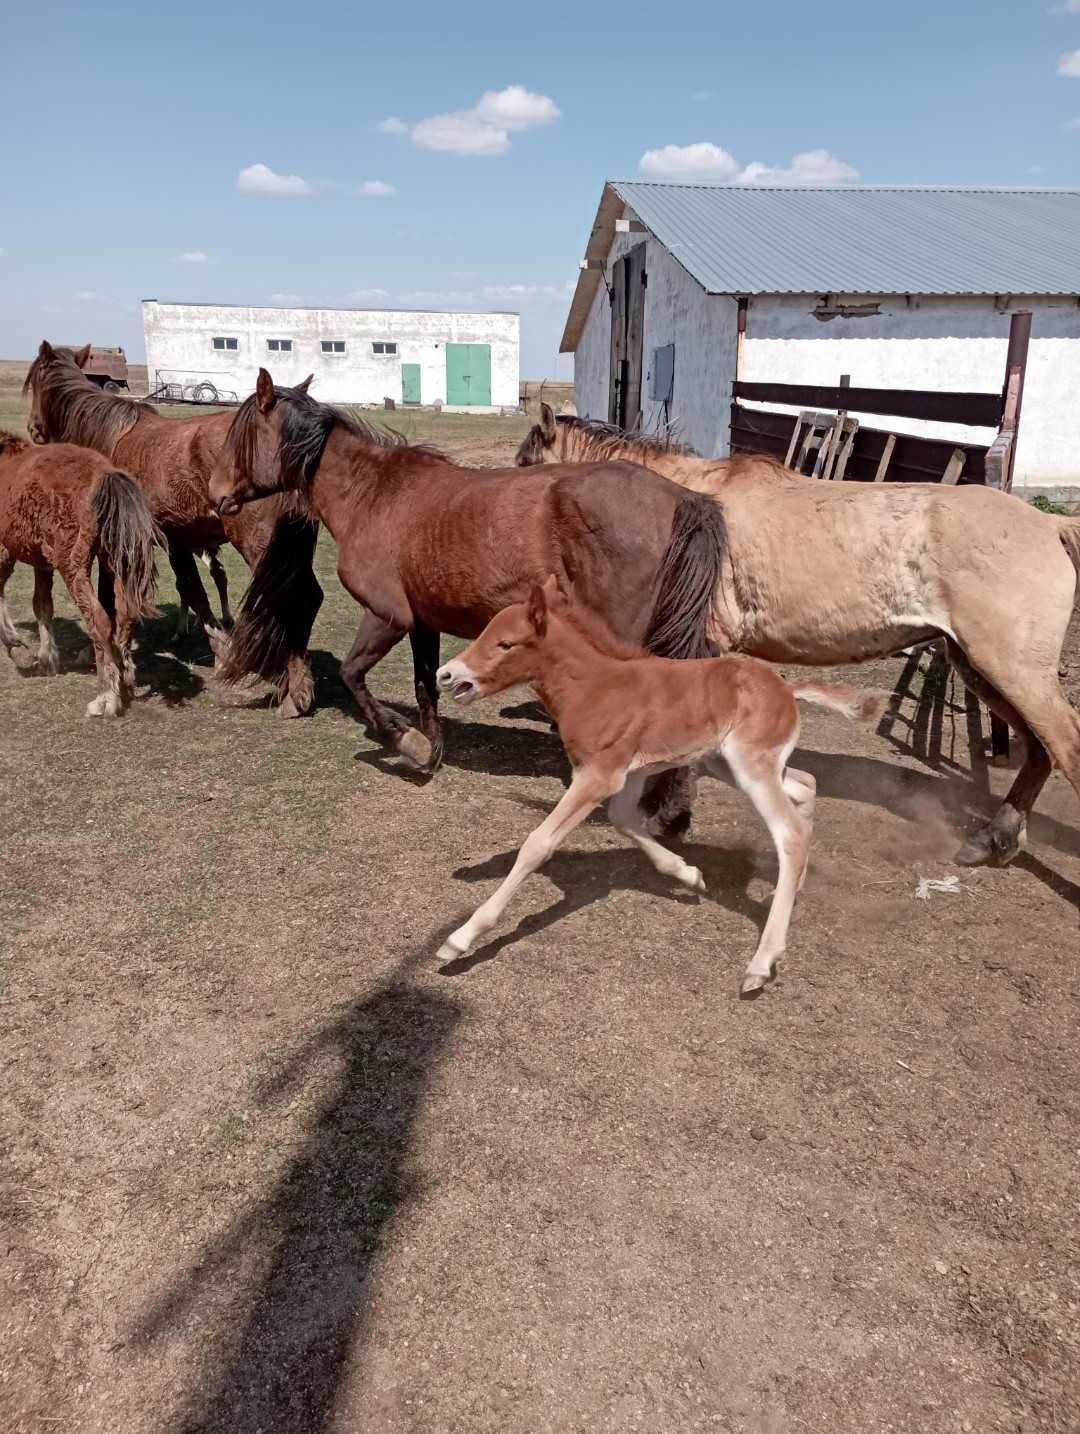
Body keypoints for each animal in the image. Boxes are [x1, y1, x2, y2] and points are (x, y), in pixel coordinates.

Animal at [0, 427, 162, 714]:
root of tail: (104, 475)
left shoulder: (4, 550)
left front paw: (13, 642)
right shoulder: (42, 562)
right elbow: (42, 605)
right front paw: (48, 659)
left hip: (73, 567)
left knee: (99, 621)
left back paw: (106, 697)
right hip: (113, 561)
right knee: (125, 616)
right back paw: (125, 681)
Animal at [23, 341, 319, 711]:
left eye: (34, 381)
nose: (33, 429)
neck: (108, 437)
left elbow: (112, 598)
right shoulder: (176, 541)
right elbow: (193, 591)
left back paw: (295, 692)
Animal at [203, 369, 725, 831]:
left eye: (240, 434)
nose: (215, 494)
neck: (371, 495)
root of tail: (679, 496)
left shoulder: (386, 617)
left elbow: (353, 676)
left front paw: (406, 743)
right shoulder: (422, 622)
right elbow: (425, 688)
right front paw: (430, 752)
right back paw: (672, 809)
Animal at [513, 410, 1078, 866]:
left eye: (524, 468)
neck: (681, 509)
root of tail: (1048, 526)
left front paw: (669, 815)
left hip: (1010, 668)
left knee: (1064, 746)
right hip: (980, 667)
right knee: (1039, 752)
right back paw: (993, 840)